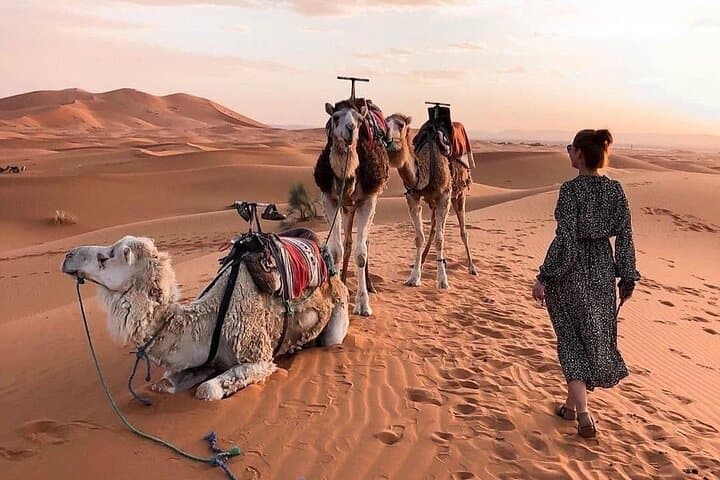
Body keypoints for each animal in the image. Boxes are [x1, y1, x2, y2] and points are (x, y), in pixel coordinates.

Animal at [61, 234, 349, 401]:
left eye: (107, 256)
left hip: (339, 314)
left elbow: (206, 390)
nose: (67, 256)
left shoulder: (259, 358)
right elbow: (163, 384)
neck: (209, 322)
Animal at [314, 99, 389, 316]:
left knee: (364, 242)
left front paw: (363, 304)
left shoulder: (368, 199)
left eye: (359, 119)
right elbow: (336, 250)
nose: (350, 128)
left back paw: (370, 286)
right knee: (347, 242)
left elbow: (361, 253)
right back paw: (344, 281)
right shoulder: (329, 198)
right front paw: (336, 295)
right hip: (347, 207)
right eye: (335, 117)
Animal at [385, 113, 477, 288]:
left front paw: (442, 280)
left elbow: (440, 240)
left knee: (463, 231)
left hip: (459, 194)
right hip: (434, 201)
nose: (387, 139)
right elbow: (419, 238)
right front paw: (414, 277)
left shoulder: (444, 196)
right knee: (434, 227)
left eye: (400, 124)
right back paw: (421, 263)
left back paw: (472, 268)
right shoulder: (412, 196)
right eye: (384, 123)